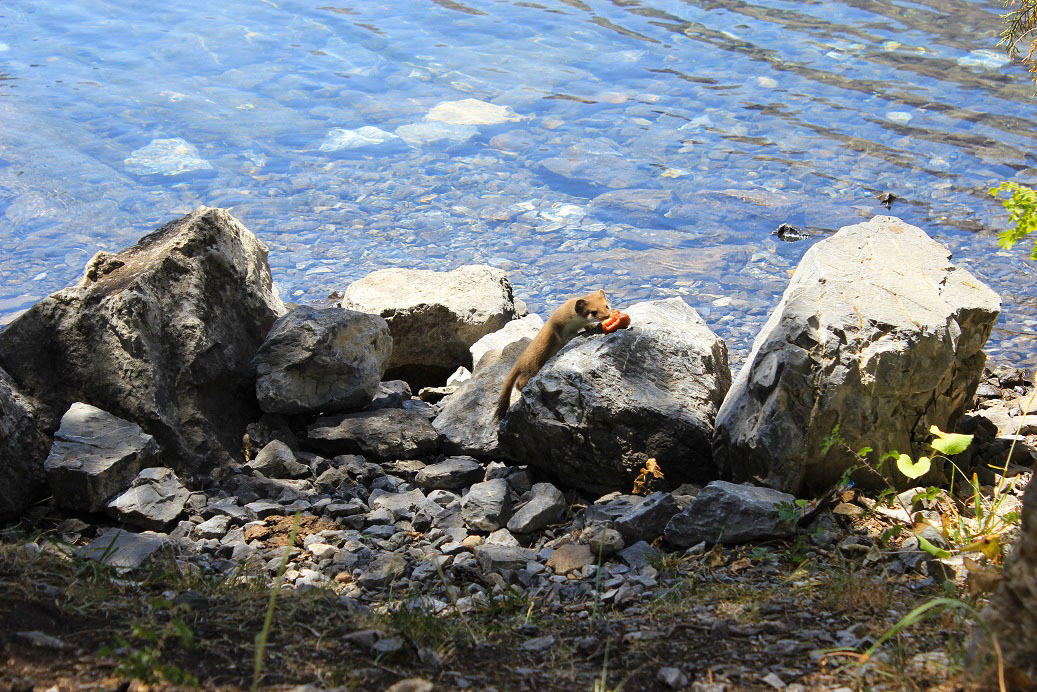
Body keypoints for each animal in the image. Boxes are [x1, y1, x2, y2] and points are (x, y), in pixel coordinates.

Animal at [491, 288, 609, 423]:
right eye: (593, 312)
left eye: (606, 305)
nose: (607, 315)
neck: (575, 324)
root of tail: (519, 361)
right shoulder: (557, 326)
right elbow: (563, 338)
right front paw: (573, 336)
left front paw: (591, 326)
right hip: (532, 366)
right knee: (519, 383)